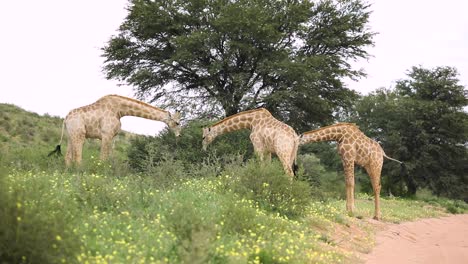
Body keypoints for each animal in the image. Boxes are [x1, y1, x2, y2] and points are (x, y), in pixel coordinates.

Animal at [52, 94, 181, 166]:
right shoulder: (106, 134)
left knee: (68, 157)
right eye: (177, 122)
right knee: (77, 157)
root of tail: (66, 118)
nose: (179, 135)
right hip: (79, 134)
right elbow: (103, 158)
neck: (120, 111)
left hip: (71, 135)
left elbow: (110, 157)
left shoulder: (113, 136)